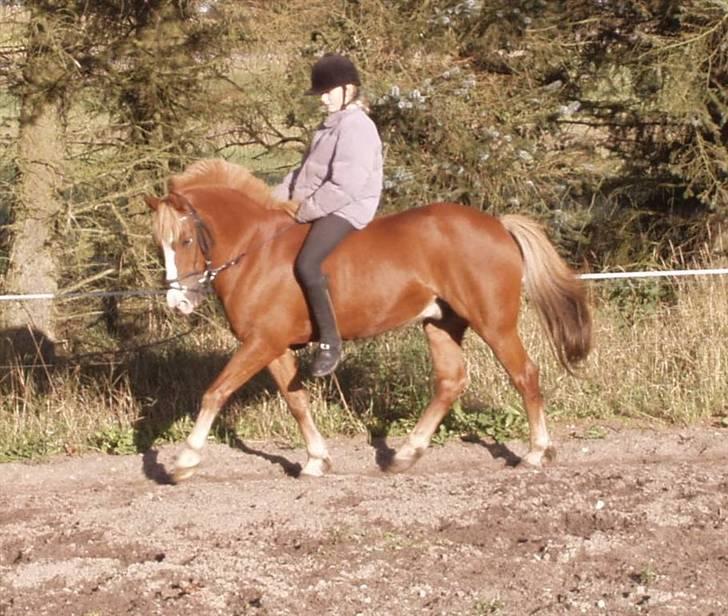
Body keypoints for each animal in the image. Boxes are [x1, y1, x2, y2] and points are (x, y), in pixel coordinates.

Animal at [144, 159, 592, 482]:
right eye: (159, 244)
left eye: (185, 240)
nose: (178, 303)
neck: (256, 251)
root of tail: (498, 224)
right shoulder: (273, 347)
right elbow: (297, 402)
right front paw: (316, 460)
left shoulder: (261, 342)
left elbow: (215, 393)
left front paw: (184, 460)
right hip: (441, 323)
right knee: (450, 381)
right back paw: (406, 454)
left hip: (494, 324)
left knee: (525, 375)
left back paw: (536, 453)